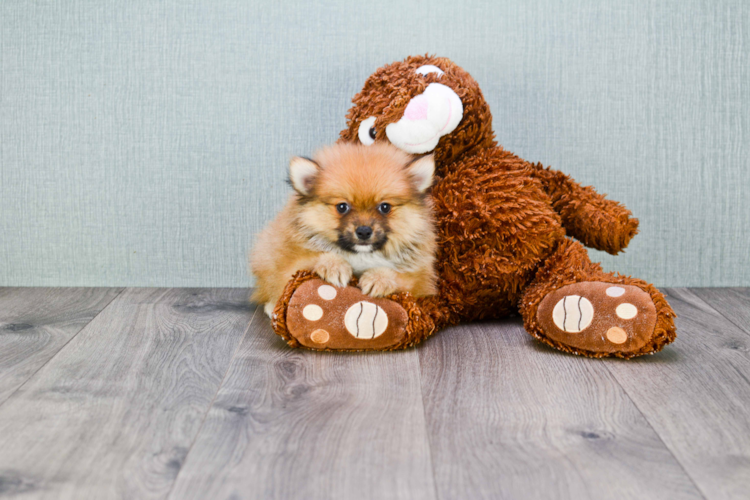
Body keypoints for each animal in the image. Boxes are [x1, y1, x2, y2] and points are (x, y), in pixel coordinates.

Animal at [253, 142, 440, 316]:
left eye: (385, 207)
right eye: (342, 207)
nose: (364, 231)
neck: (361, 255)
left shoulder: (421, 282)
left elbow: (400, 276)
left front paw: (378, 279)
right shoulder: (290, 265)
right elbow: (313, 257)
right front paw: (334, 267)